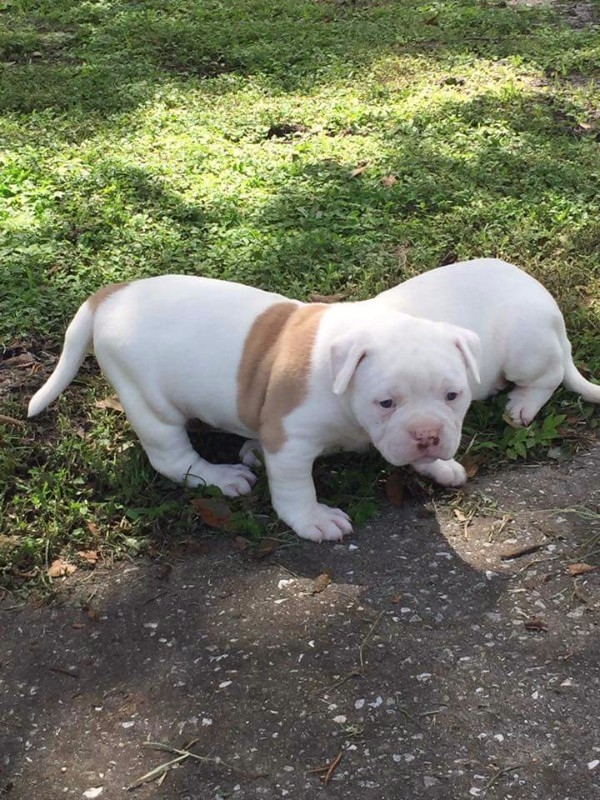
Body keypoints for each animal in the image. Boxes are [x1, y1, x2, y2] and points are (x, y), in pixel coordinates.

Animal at [28, 276, 480, 544]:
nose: (428, 436)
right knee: (171, 457)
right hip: (149, 403)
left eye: (453, 396)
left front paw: (438, 465)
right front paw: (312, 519)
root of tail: (112, 295)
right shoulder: (290, 441)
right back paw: (221, 476)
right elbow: (296, 488)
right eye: (386, 403)